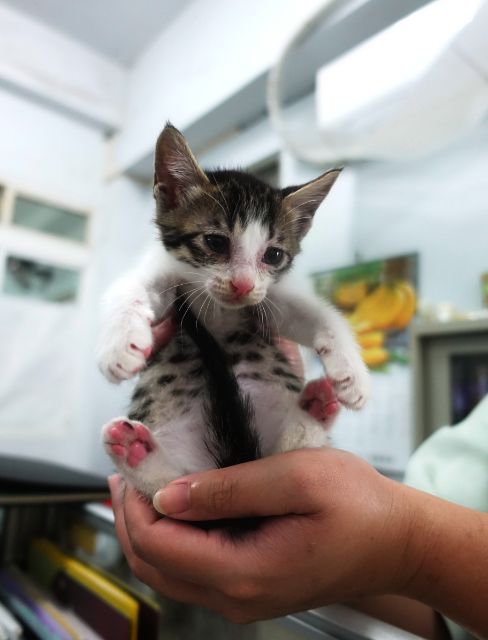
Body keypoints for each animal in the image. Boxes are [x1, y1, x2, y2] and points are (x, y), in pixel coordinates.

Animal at [97, 123, 370, 500]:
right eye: (215, 242)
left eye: (273, 255)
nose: (242, 285)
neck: (219, 309)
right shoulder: (161, 272)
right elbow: (128, 290)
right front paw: (119, 347)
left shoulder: (269, 299)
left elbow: (322, 315)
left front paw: (353, 375)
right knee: (167, 489)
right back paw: (136, 452)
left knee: (287, 454)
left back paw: (312, 413)